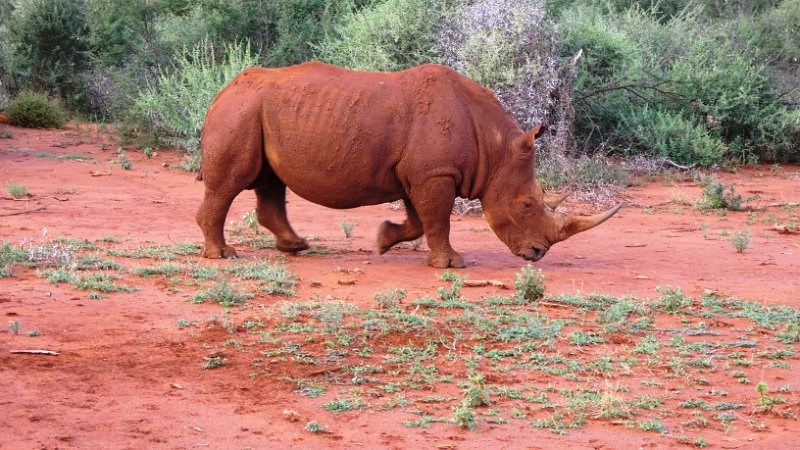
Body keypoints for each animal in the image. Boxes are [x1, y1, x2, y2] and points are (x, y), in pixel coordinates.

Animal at [197, 61, 621, 268]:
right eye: (527, 204)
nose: (537, 254)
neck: (495, 147)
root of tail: (223, 90)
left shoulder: (423, 173)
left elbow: (420, 220)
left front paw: (384, 239)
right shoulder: (434, 174)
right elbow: (438, 219)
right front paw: (451, 265)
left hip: (257, 110)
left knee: (270, 181)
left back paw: (295, 246)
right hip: (242, 111)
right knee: (232, 182)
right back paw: (224, 256)